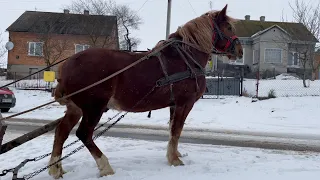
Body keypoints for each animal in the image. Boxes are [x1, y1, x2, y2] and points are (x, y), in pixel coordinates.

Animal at [47, 4, 242, 179]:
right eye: (229, 27)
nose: (240, 51)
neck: (185, 58)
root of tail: (67, 65)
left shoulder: (173, 105)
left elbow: (172, 129)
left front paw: (174, 154)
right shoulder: (184, 103)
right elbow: (177, 130)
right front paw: (174, 160)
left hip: (76, 108)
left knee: (61, 131)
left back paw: (56, 169)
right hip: (94, 108)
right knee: (83, 134)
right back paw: (105, 167)